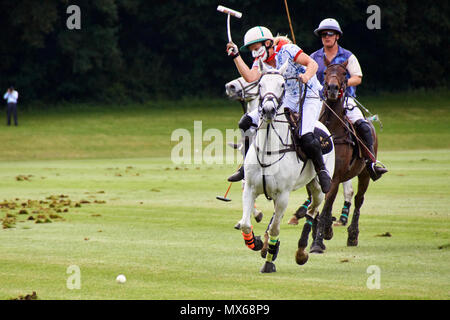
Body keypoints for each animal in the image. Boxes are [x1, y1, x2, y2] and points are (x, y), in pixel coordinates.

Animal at [237, 62, 336, 272]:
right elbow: (246, 224)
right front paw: (257, 243)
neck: (268, 150)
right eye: (260, 85)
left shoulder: (283, 194)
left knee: (312, 210)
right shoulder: (250, 188)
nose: (268, 109)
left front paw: (268, 263)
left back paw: (301, 252)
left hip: (317, 186)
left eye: (282, 85)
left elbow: (276, 228)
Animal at [290, 58, 378, 262]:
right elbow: (316, 205)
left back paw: (352, 235)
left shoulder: (335, 177)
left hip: (364, 174)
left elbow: (323, 209)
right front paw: (319, 235)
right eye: (325, 73)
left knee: (358, 199)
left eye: (345, 74)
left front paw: (316, 243)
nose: (331, 88)